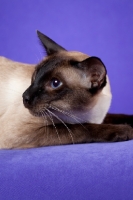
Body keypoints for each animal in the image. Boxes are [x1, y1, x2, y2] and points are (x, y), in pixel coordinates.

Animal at [0, 30, 132, 148]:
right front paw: (126, 130)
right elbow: (80, 128)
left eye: (55, 83)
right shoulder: (17, 131)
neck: (88, 115)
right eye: (35, 76)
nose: (25, 96)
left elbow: (117, 116)